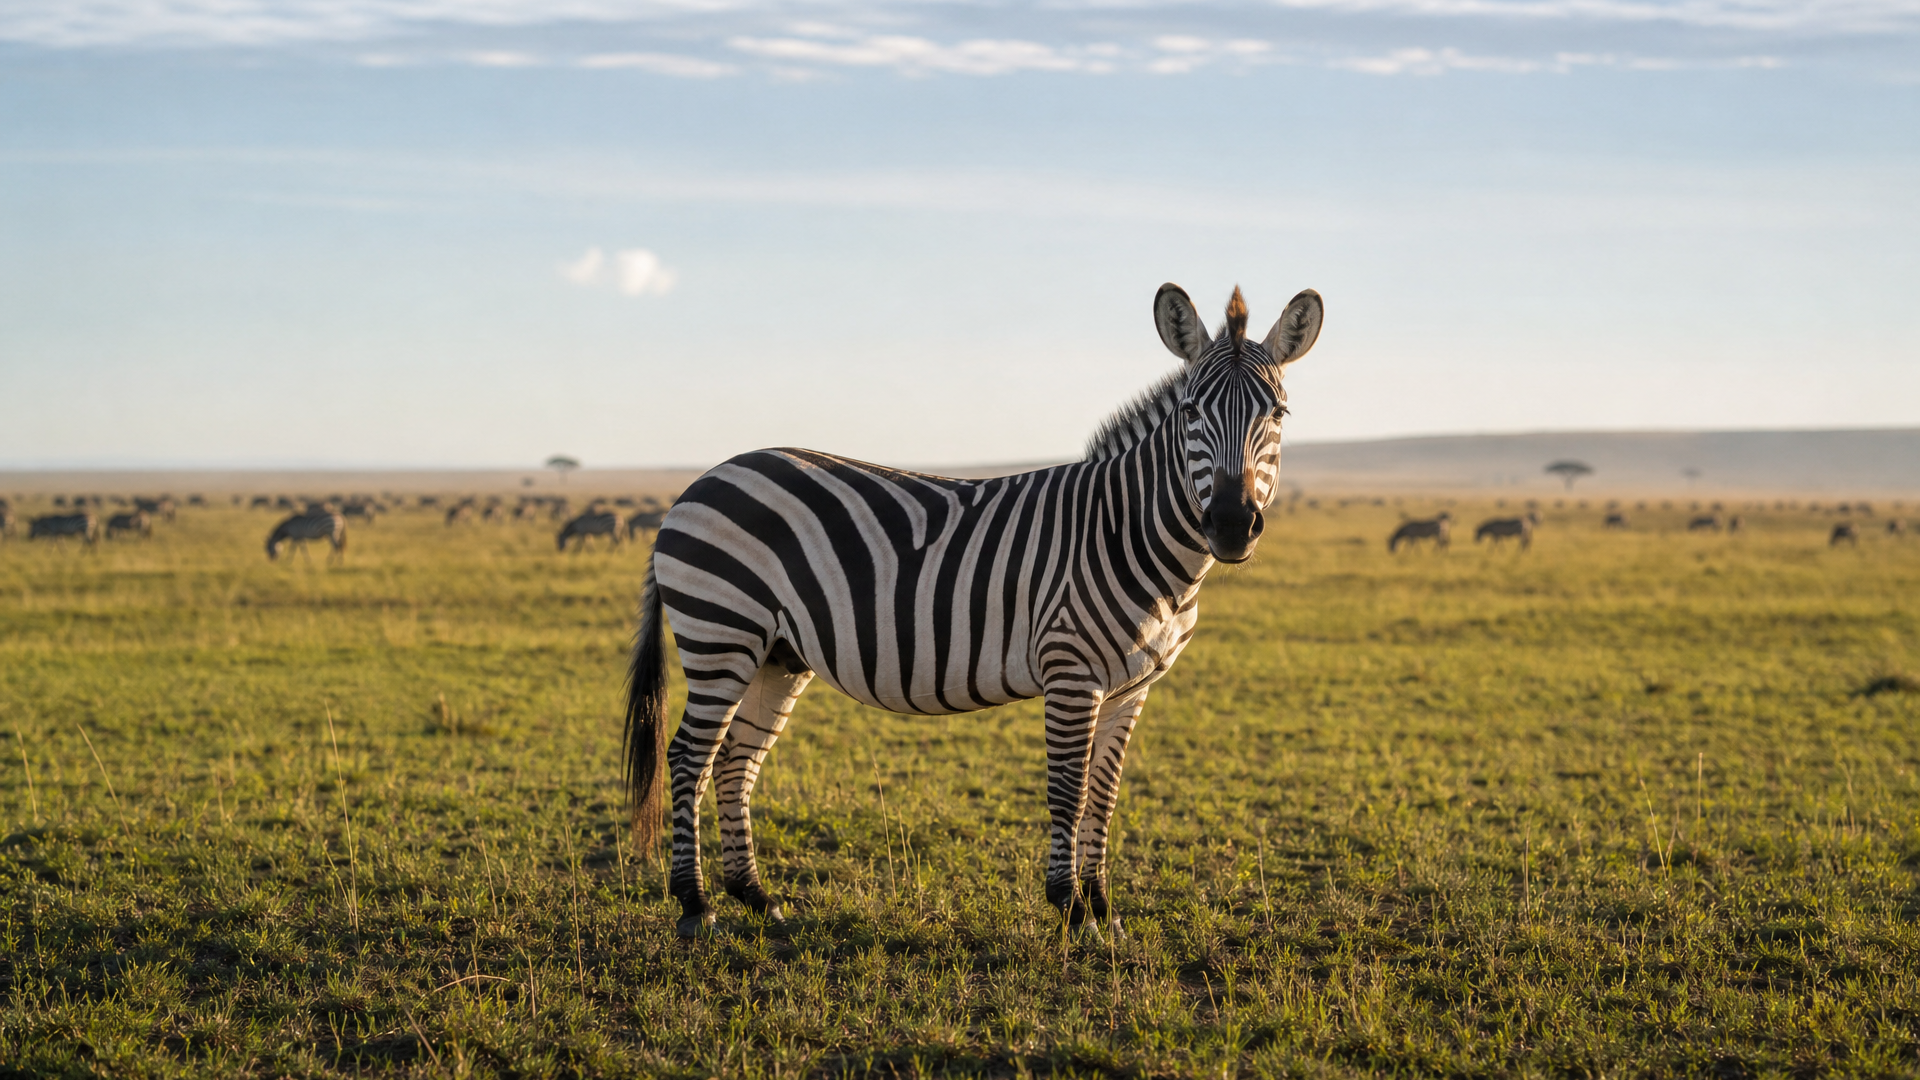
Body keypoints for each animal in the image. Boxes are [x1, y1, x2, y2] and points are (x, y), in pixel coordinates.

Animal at [623, 284, 1323, 938]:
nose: (1231, 525)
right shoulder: (1071, 669)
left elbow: (1104, 796)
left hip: (778, 652)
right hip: (721, 632)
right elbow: (1067, 793)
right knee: (688, 757)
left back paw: (755, 897)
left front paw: (1104, 911)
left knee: (736, 759)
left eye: (1279, 412)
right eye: (1190, 412)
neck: (1128, 531)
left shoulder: (1133, 686)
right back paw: (694, 904)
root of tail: (698, 483)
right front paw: (1071, 910)